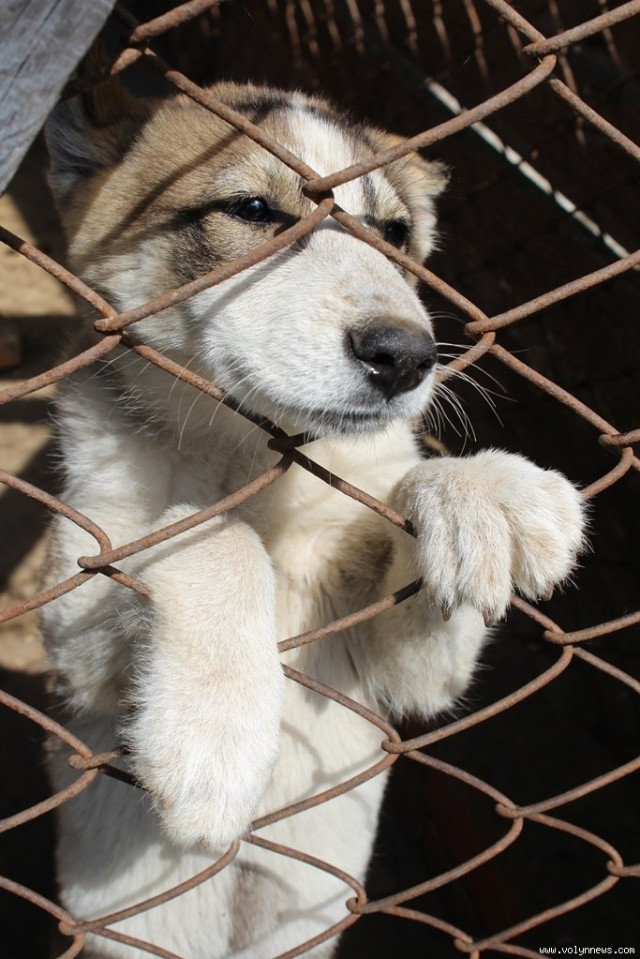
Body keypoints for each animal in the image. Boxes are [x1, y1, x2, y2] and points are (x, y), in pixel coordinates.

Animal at [43, 78, 585, 958]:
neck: (257, 464)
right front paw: (215, 738)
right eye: (254, 208)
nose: (407, 357)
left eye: (394, 233)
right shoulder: (76, 631)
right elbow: (215, 536)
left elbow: (413, 505)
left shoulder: (402, 677)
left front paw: (483, 492)